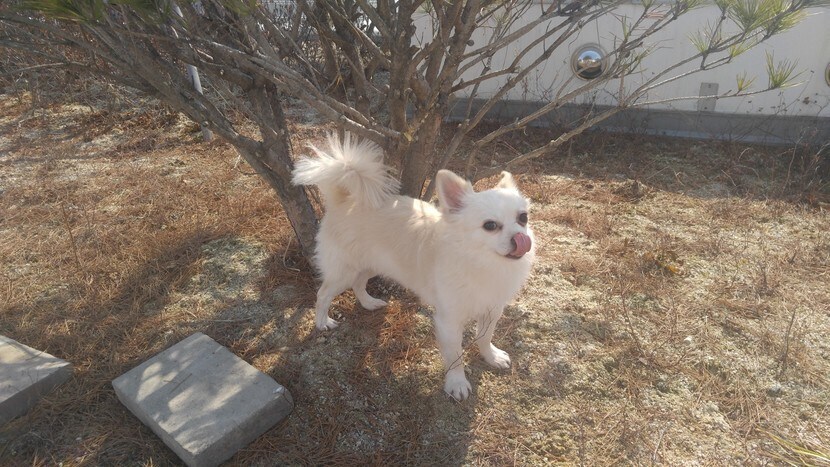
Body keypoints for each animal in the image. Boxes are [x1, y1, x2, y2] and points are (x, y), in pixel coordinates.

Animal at [292, 133, 535, 400]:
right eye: (490, 226)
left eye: (523, 218)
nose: (520, 238)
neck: (483, 262)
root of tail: (345, 200)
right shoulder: (449, 321)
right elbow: (455, 355)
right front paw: (457, 383)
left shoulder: (492, 309)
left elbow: (485, 336)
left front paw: (491, 356)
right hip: (344, 271)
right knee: (323, 293)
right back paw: (322, 322)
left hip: (372, 264)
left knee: (358, 283)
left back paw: (369, 303)